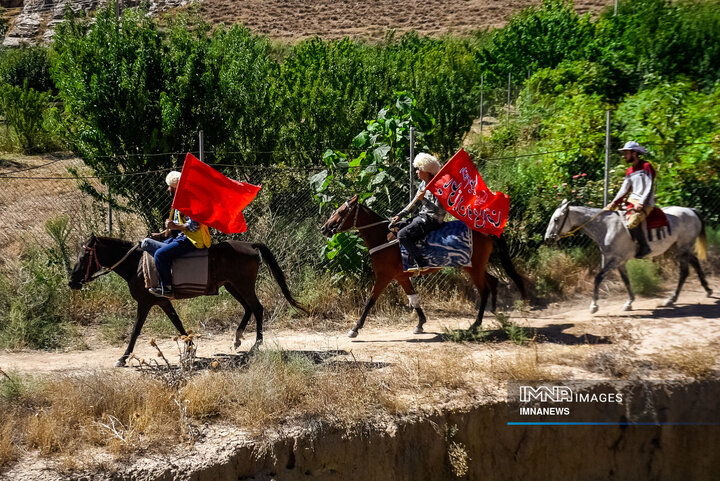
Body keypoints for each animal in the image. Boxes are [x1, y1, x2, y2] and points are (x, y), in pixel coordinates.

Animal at [70, 234, 310, 366]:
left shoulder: (145, 303)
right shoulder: (162, 302)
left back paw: (256, 344)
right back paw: (238, 338)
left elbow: (136, 330)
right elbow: (177, 323)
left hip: (243, 285)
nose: (72, 282)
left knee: (257, 308)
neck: (136, 264)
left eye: (84, 257)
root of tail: (250, 245)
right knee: (248, 308)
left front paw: (123, 357)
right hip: (232, 286)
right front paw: (191, 347)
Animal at [322, 193, 500, 336]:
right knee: (493, 281)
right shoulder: (401, 277)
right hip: (476, 267)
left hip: (473, 268)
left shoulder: (383, 277)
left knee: (484, 290)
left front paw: (355, 328)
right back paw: (494, 311)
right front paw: (420, 324)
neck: (383, 237)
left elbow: (370, 301)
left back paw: (476, 324)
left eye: (340, 212)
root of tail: (485, 231)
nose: (324, 228)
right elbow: (413, 299)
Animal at [544, 198, 708, 314]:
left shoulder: (616, 260)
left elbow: (598, 278)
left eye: (556, 219)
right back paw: (707, 290)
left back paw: (671, 299)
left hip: (683, 248)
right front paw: (629, 302)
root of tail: (691, 211)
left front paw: (594, 306)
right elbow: (626, 280)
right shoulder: (619, 262)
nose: (547, 238)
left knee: (684, 272)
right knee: (694, 262)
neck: (606, 227)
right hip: (679, 248)